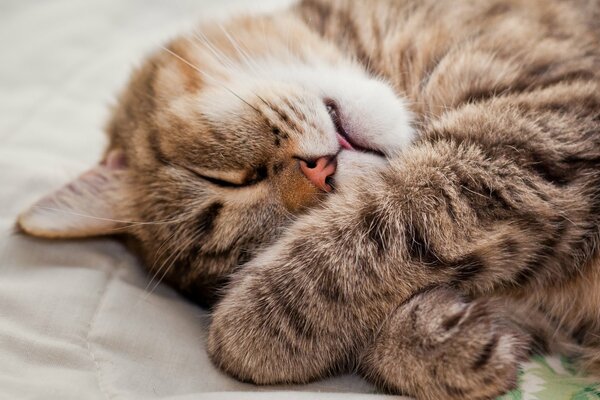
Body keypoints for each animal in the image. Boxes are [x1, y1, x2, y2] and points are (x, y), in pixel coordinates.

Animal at [16, 0, 600, 398]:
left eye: (224, 180)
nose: (321, 175)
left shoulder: (544, 128)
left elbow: (365, 238)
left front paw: (250, 330)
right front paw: (436, 339)